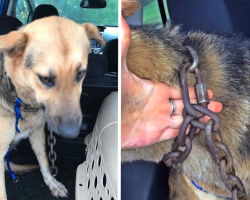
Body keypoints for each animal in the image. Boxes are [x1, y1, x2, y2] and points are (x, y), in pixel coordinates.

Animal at [0, 16, 104, 199]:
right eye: (45, 78)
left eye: (80, 73)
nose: (71, 133)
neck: (19, 97)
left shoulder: (37, 132)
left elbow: (45, 162)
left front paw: (53, 184)